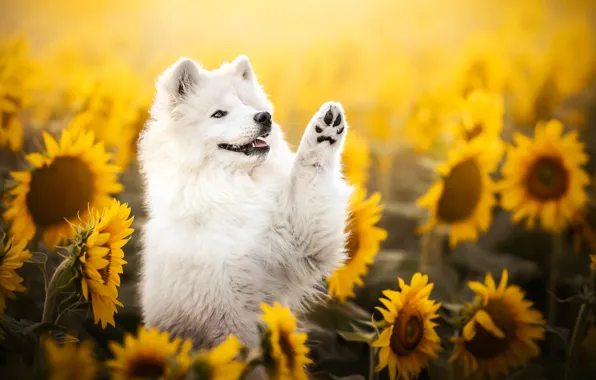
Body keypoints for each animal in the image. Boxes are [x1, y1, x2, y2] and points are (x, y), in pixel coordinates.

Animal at [139, 55, 354, 348]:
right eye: (219, 114)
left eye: (248, 105)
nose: (264, 116)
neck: (234, 188)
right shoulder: (224, 306)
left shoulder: (301, 243)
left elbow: (309, 176)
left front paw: (325, 131)